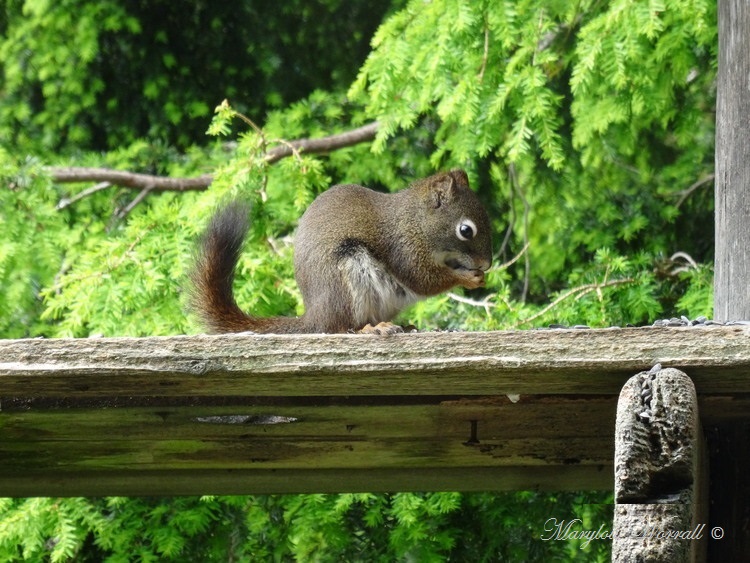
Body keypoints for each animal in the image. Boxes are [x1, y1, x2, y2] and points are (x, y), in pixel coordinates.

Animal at [189, 167, 494, 334]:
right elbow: (423, 279)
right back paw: (370, 330)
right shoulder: (404, 248)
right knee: (340, 326)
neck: (415, 222)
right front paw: (467, 278)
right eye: (465, 230)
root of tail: (315, 315)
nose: (488, 265)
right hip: (347, 277)